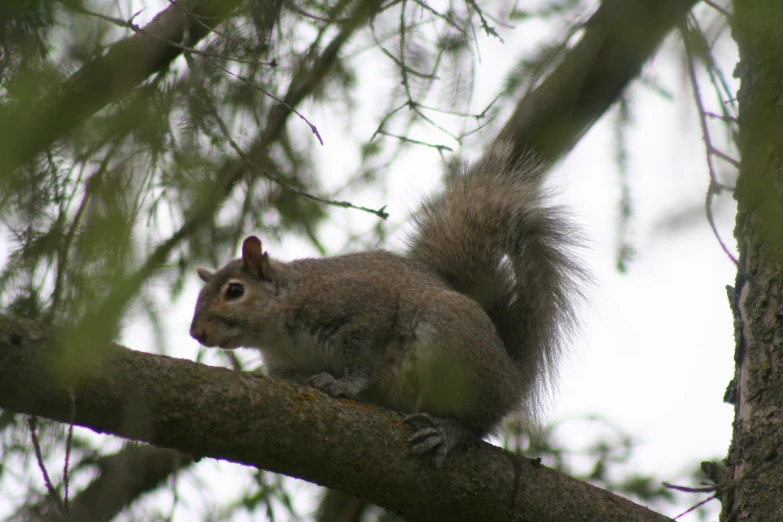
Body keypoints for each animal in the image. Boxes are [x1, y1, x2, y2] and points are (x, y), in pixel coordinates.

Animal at [188, 143, 580, 468]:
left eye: (234, 290)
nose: (196, 332)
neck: (278, 334)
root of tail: (512, 376)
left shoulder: (363, 307)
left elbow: (362, 357)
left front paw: (344, 385)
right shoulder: (284, 364)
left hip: (452, 340)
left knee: (478, 420)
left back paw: (448, 432)